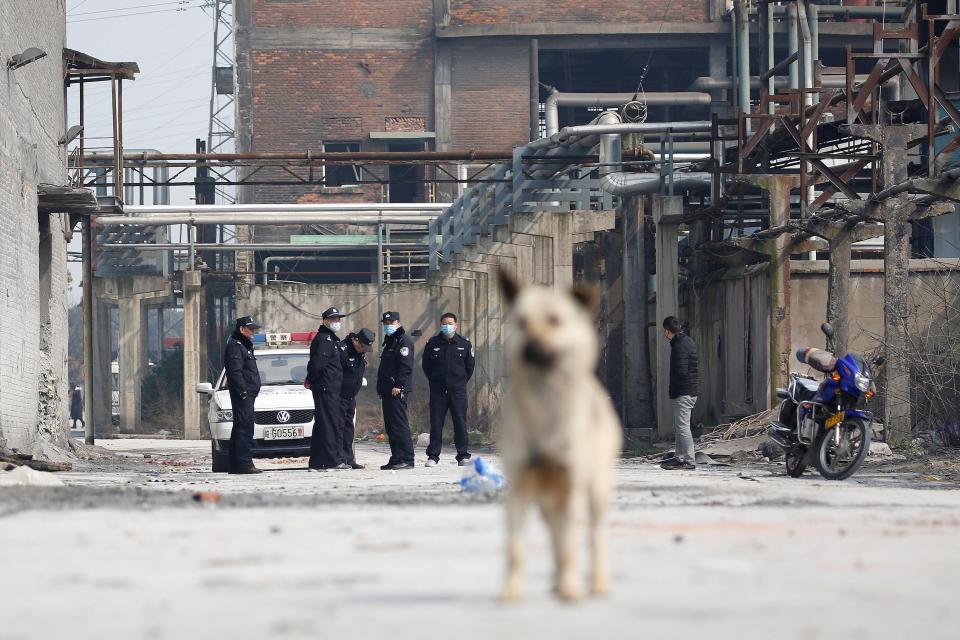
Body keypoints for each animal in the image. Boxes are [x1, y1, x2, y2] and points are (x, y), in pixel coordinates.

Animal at [496, 268, 624, 600]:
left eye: (555, 320)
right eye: (521, 321)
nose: (531, 350)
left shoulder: (571, 482)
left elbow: (571, 542)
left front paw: (571, 587)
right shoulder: (520, 485)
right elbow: (515, 546)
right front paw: (511, 590)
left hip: (596, 486)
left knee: (593, 531)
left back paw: (596, 581)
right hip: (546, 496)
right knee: (554, 527)